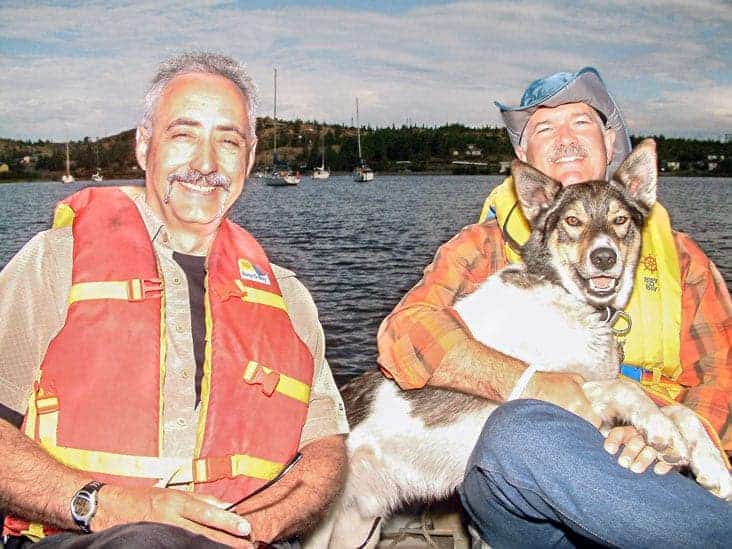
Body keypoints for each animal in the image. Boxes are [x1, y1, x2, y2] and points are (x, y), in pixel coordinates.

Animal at [306, 141, 728, 548]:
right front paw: (661, 432)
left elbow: (683, 412)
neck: (568, 300)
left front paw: (713, 468)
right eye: (572, 221)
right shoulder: (567, 393)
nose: (604, 257)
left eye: (620, 220)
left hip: (355, 530)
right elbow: (628, 391)